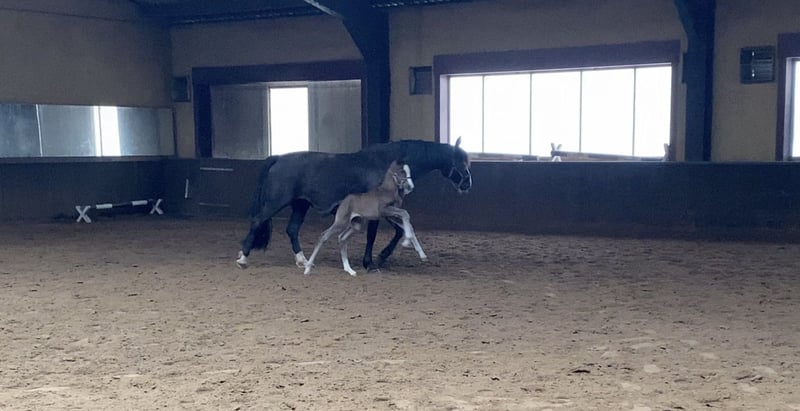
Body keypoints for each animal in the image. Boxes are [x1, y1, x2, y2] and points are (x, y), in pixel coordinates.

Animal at [235, 138, 471, 270]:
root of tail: (278, 158)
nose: (468, 183)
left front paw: (382, 256)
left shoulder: (386, 210)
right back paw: (243, 258)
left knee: (292, 229)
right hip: (276, 202)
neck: (384, 168)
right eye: (460, 163)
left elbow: (398, 231)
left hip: (300, 205)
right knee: (257, 221)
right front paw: (370, 263)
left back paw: (302, 260)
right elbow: (373, 235)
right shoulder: (377, 210)